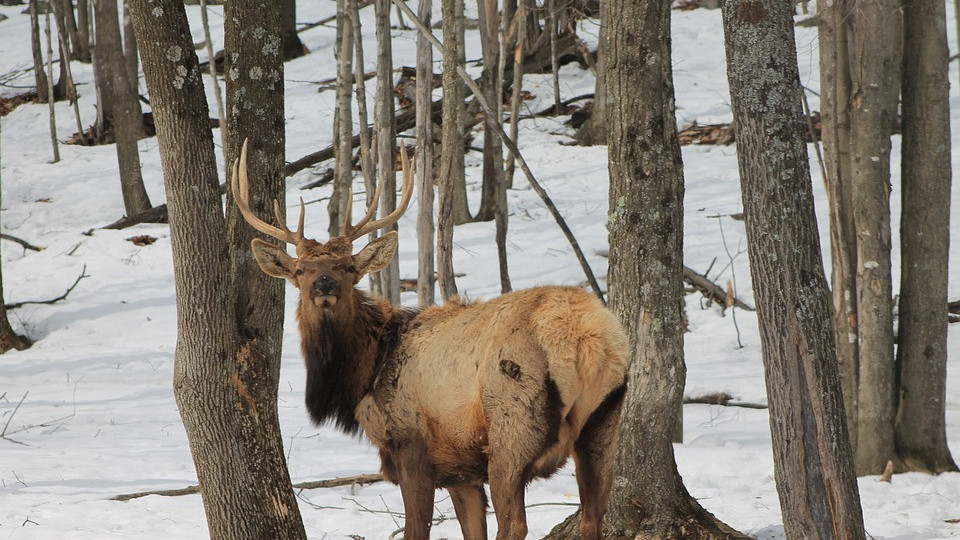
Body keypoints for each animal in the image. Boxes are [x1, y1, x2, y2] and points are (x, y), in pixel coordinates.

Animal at [232, 140, 632, 540]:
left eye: (348, 267)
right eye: (301, 270)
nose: (324, 285)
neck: (367, 373)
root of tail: (586, 340)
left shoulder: (411, 446)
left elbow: (416, 530)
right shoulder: (459, 470)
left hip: (512, 427)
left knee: (515, 524)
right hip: (604, 422)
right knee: (592, 518)